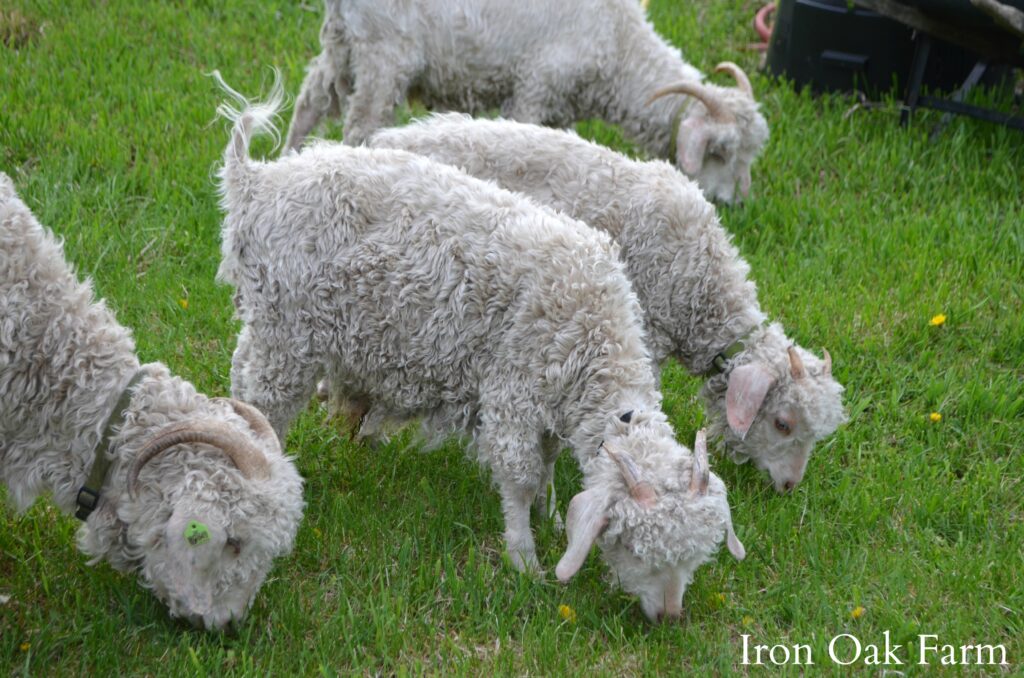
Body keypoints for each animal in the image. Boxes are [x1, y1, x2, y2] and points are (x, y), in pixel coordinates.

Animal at [218, 82, 745, 622]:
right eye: (637, 548)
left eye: (695, 557)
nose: (669, 616)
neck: (592, 330)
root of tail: (254, 181)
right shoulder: (513, 391)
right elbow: (520, 475)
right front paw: (524, 557)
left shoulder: (549, 401)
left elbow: (548, 461)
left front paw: (553, 518)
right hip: (288, 330)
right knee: (268, 398)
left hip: (268, 319)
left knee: (243, 372)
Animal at [288, 0, 770, 204]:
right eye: (720, 152)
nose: (739, 205)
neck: (618, 46)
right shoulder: (535, 88)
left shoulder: (561, 107)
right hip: (384, 54)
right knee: (359, 126)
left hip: (343, 46)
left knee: (309, 102)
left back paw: (288, 161)